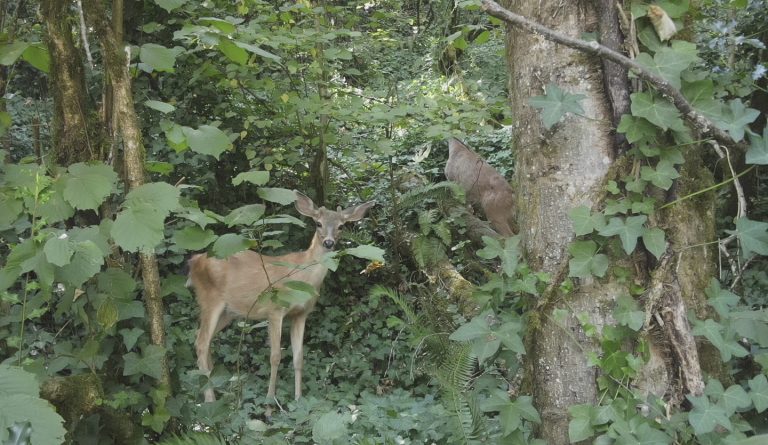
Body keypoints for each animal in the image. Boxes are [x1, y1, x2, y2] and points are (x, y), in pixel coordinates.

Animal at [188, 190, 376, 402]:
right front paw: (270, 401)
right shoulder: (275, 309)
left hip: (229, 311)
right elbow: (276, 356)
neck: (303, 277)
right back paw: (210, 399)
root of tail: (195, 261)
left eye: (341, 226)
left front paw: (298, 398)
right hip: (209, 298)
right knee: (201, 342)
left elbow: (299, 357)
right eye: (318, 223)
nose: (328, 242)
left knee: (202, 339)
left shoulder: (301, 314)